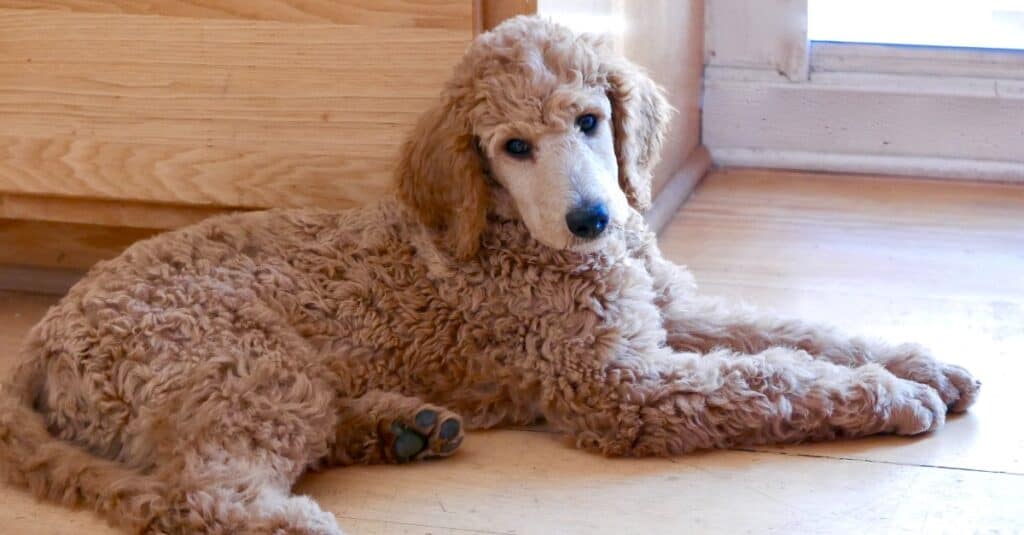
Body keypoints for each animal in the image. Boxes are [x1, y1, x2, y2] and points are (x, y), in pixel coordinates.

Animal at [0, 14, 978, 528]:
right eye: (512, 147)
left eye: (590, 120)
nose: (591, 218)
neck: (516, 233)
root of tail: (44, 336)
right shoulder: (619, 382)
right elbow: (770, 379)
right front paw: (891, 397)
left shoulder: (663, 311)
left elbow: (789, 333)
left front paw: (921, 363)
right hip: (241, 362)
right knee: (204, 496)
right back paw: (310, 510)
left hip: (267, 378)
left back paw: (406, 426)